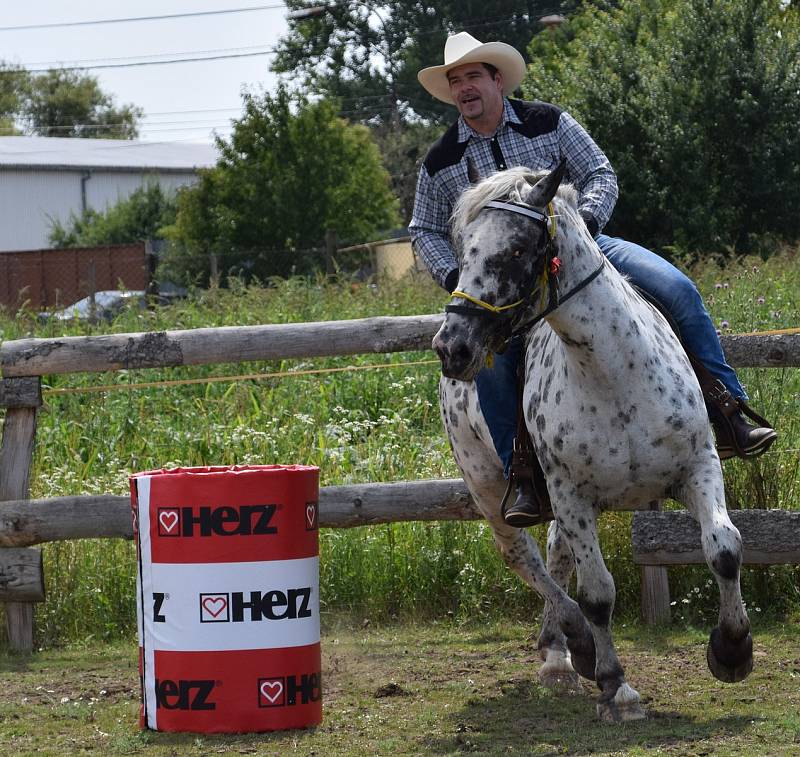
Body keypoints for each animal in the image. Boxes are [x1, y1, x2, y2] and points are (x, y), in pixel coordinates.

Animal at [432, 161, 752, 720]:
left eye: (517, 248)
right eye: (463, 248)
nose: (452, 346)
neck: (613, 372)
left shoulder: (698, 468)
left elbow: (724, 549)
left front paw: (733, 650)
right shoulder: (571, 497)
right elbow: (598, 594)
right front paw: (616, 687)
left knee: (556, 555)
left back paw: (559, 653)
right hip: (491, 491)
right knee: (527, 559)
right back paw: (575, 645)